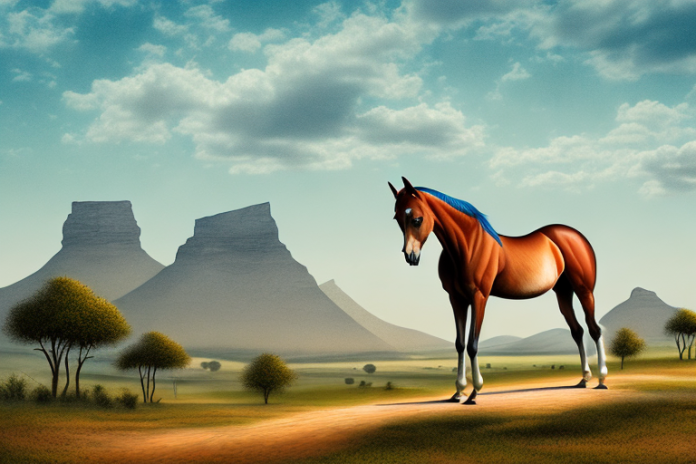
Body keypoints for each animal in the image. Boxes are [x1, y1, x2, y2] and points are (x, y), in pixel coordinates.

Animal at [389, 177, 607, 404]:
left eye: (417, 219)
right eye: (397, 217)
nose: (411, 256)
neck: (467, 246)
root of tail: (576, 236)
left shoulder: (479, 297)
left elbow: (472, 344)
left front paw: (474, 393)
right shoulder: (456, 299)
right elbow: (460, 344)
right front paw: (458, 392)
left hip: (584, 290)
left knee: (594, 329)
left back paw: (601, 380)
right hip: (563, 292)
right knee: (578, 331)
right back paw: (584, 379)